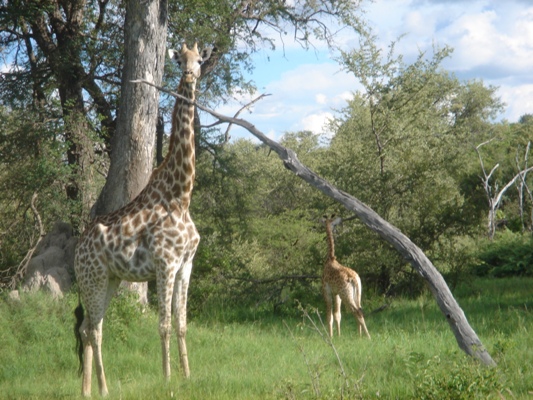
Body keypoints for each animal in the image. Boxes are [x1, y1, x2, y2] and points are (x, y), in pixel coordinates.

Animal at [73, 42, 212, 397]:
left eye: (199, 60)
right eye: (180, 60)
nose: (189, 75)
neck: (181, 196)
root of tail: (77, 250)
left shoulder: (186, 263)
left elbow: (181, 323)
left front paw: (187, 376)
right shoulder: (165, 264)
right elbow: (163, 324)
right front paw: (167, 379)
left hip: (108, 279)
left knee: (87, 327)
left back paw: (86, 390)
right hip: (93, 278)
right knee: (94, 329)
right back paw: (104, 389)